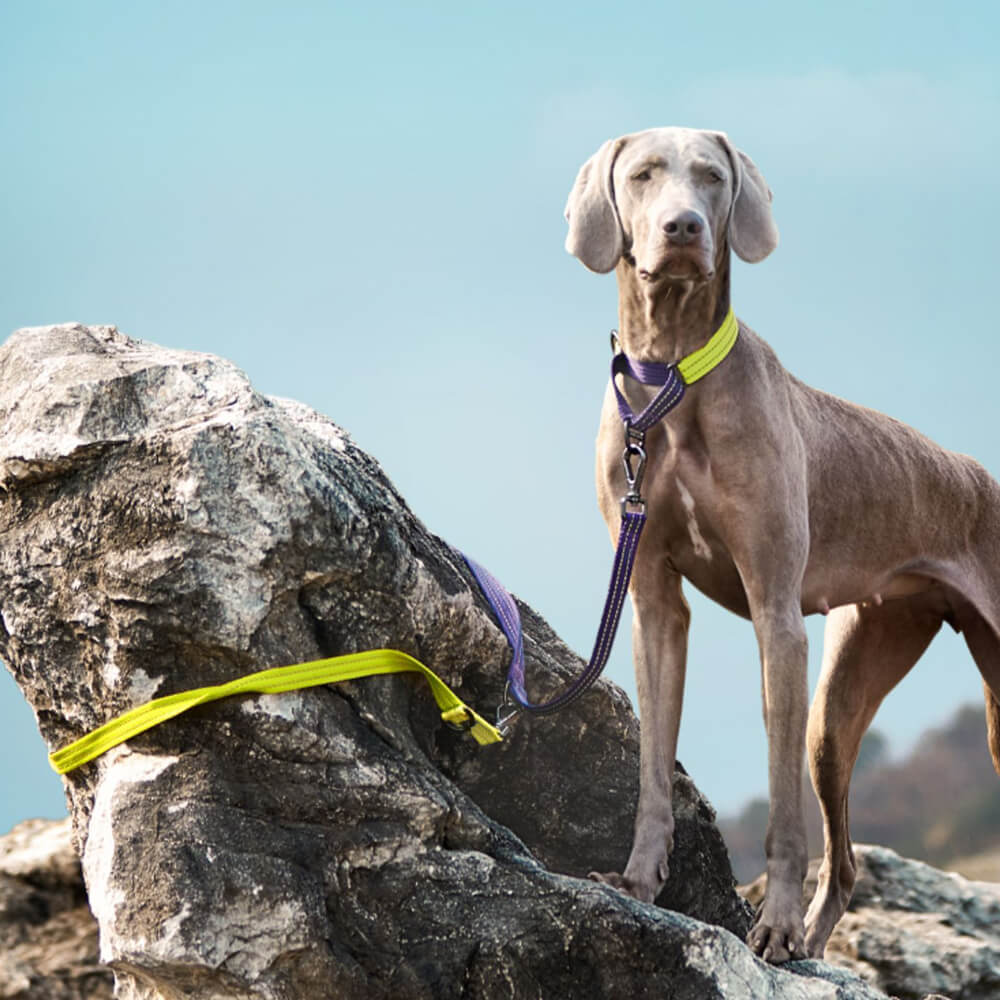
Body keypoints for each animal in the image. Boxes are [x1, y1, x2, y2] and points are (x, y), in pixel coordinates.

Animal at [564, 125, 1000, 960]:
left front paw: (775, 927)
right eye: (643, 175)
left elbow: (784, 813)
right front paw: (637, 881)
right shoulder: (653, 602)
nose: (682, 229)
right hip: (850, 685)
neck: (673, 379)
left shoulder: (777, 615)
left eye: (710, 176)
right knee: (850, 859)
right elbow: (652, 771)